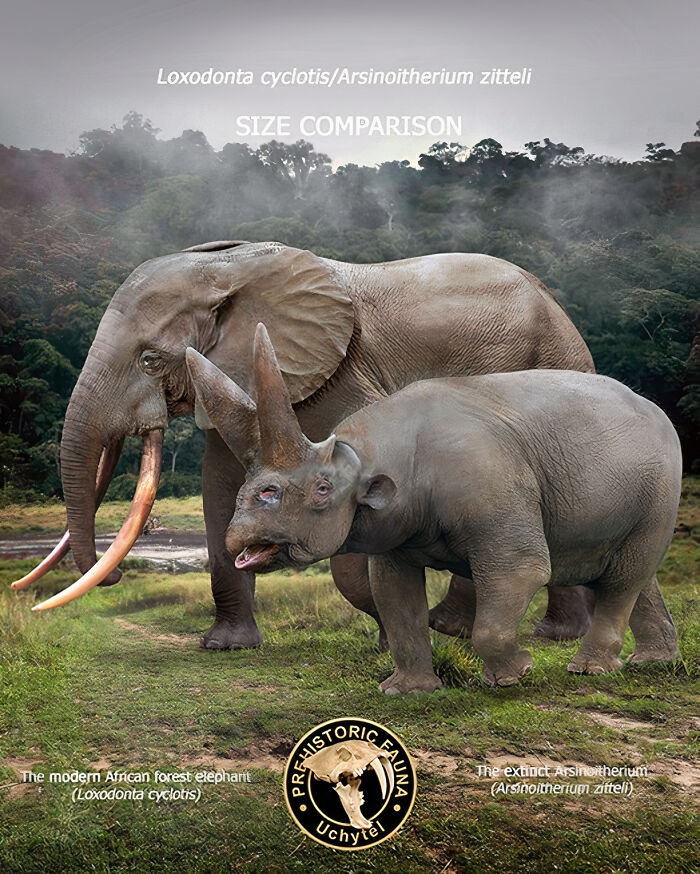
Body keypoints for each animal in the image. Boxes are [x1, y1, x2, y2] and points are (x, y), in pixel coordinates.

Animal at [20, 240, 597, 647]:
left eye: (150, 360)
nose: (115, 579)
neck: (227, 271)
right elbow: (220, 488)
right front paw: (226, 647)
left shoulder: (340, 374)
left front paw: (391, 634)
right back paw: (531, 633)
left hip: (557, 359)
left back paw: (476, 631)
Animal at [193, 325, 681, 693]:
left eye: (322, 490)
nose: (239, 537)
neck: (368, 461)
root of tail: (654, 408)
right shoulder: (393, 532)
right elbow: (397, 602)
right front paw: (406, 692)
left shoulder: (497, 508)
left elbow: (515, 580)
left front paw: (515, 676)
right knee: (631, 570)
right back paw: (652, 663)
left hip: (664, 469)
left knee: (625, 573)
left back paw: (591, 671)